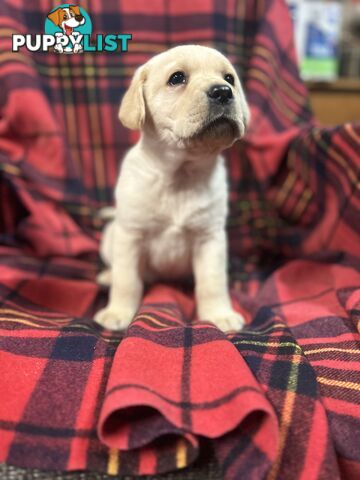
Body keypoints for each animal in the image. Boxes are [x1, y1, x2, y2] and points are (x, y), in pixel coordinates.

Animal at [94, 45, 249, 332]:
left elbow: (212, 282)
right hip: (111, 236)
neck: (180, 174)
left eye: (229, 78)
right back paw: (107, 276)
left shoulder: (210, 238)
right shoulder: (130, 235)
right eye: (177, 78)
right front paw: (118, 312)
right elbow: (127, 280)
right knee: (117, 270)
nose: (223, 91)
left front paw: (219, 314)